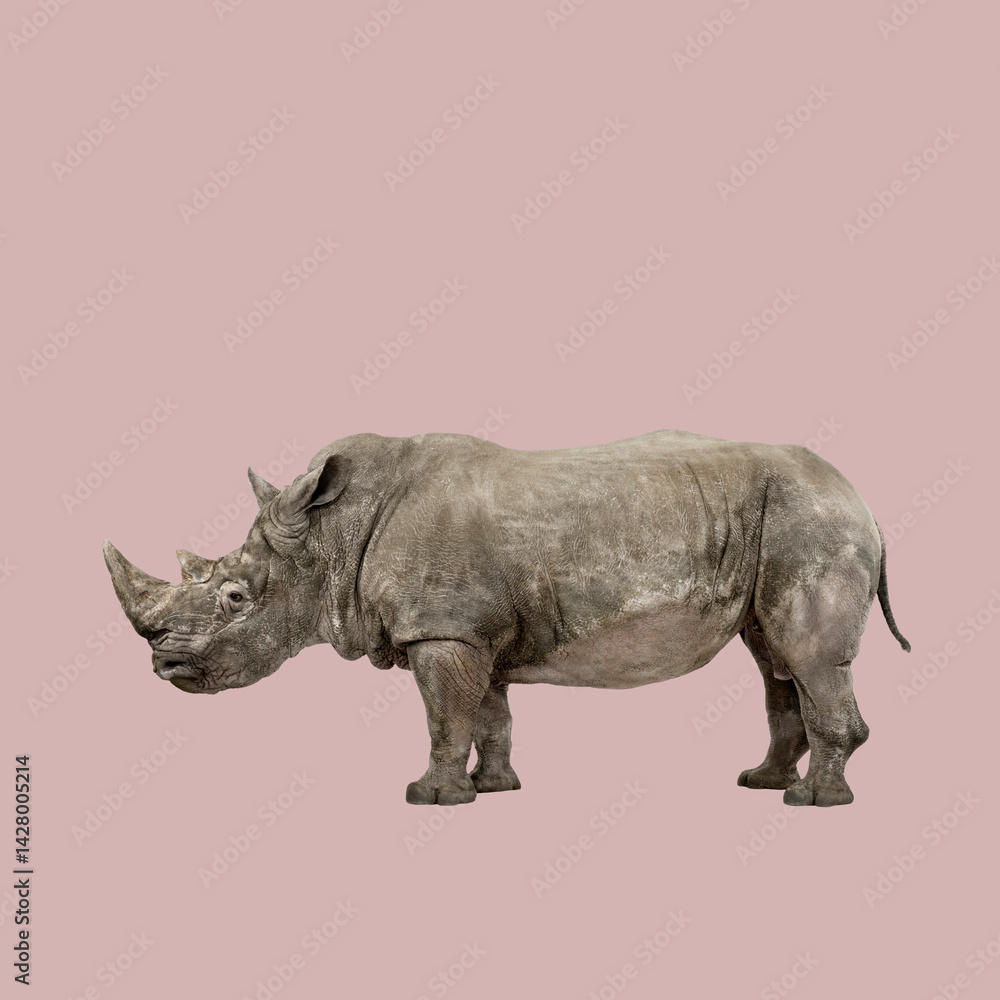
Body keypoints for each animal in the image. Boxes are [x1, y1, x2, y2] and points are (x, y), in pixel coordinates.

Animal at [103, 430, 910, 808]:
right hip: (790, 523)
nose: (164, 665)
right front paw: (494, 790)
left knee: (807, 657)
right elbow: (486, 714)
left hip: (811, 523)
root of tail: (861, 496)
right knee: (774, 658)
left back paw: (813, 802)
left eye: (236, 598)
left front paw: (429, 798)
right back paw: (761, 782)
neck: (331, 537)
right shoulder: (468, 630)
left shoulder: (442, 629)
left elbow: (443, 716)